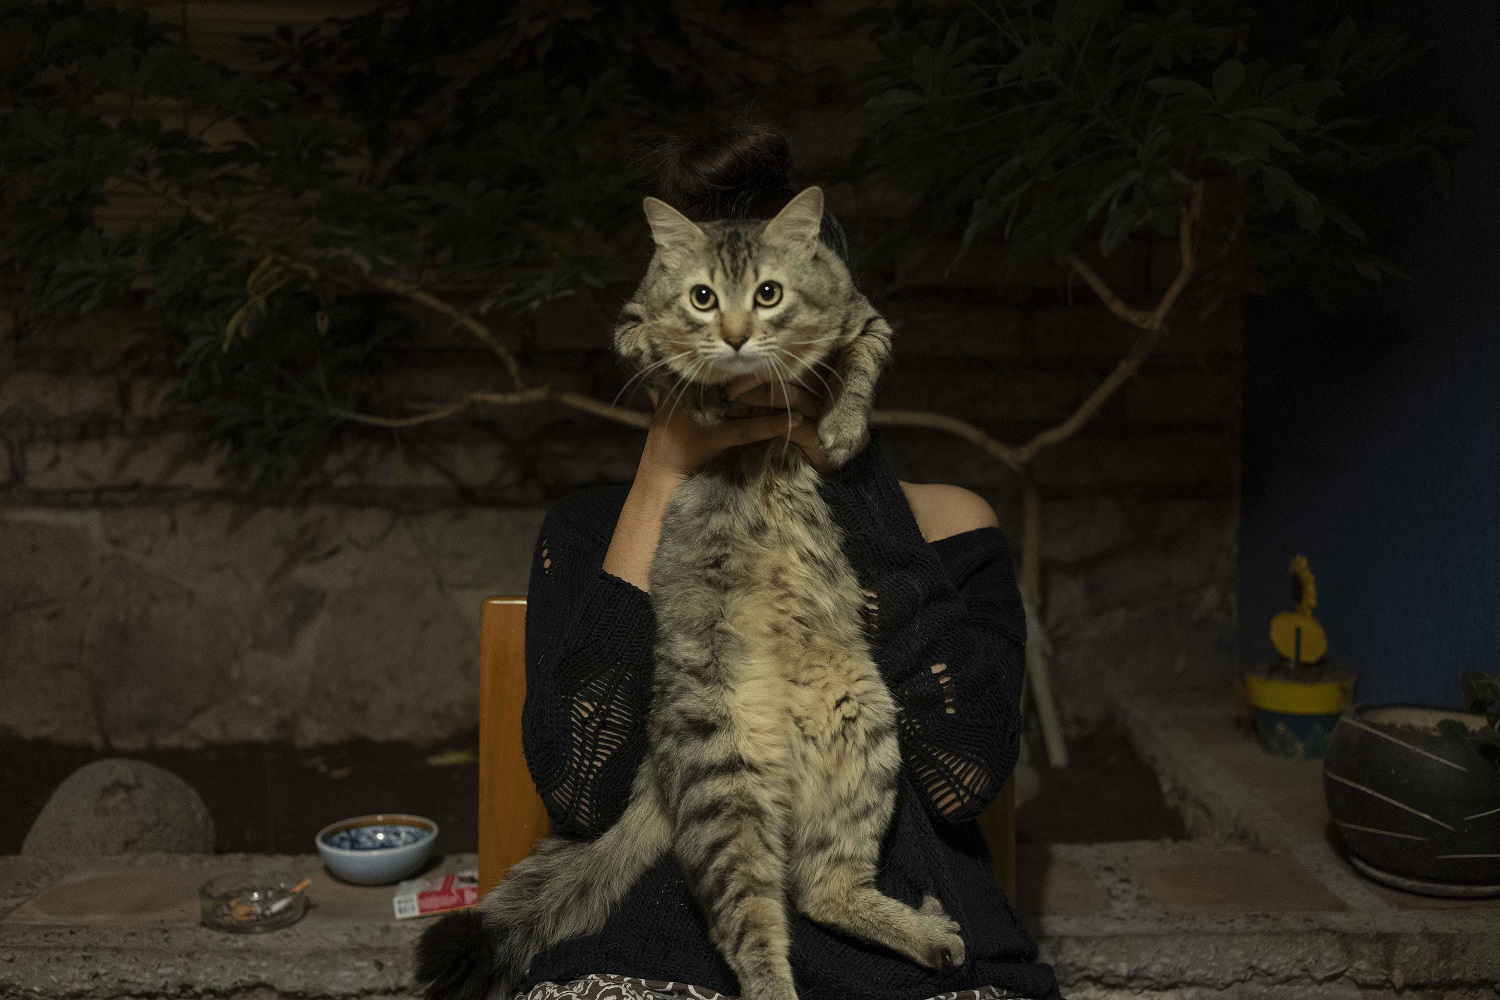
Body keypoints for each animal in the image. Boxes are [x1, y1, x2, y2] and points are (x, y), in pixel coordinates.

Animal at [411, 185, 960, 1000]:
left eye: (768, 294)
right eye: (702, 298)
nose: (733, 337)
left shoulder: (865, 318)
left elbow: (859, 366)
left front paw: (839, 426)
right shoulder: (633, 323)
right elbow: (657, 358)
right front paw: (703, 394)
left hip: (862, 742)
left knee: (819, 891)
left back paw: (926, 935)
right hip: (725, 791)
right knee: (755, 929)